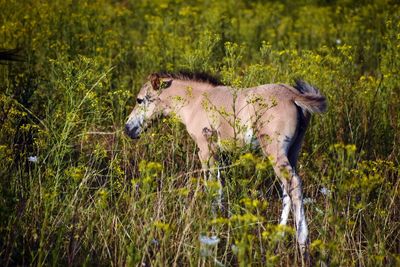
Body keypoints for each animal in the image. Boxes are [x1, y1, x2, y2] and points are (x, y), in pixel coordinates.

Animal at [125, 71, 324, 260]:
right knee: (287, 189)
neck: (196, 102)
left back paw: (302, 244)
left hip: (275, 151)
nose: (128, 129)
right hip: (293, 151)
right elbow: (220, 187)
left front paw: (212, 228)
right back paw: (277, 239)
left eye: (139, 100)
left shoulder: (206, 151)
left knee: (293, 184)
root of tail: (293, 95)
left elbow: (212, 188)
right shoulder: (219, 155)